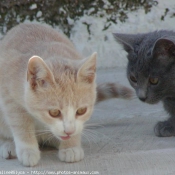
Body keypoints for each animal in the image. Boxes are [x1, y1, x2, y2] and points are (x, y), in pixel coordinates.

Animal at [0, 23, 133, 167]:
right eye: (54, 112)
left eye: (81, 110)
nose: (69, 131)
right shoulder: (9, 96)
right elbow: (20, 124)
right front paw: (28, 150)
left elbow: (78, 127)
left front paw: (71, 146)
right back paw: (8, 145)